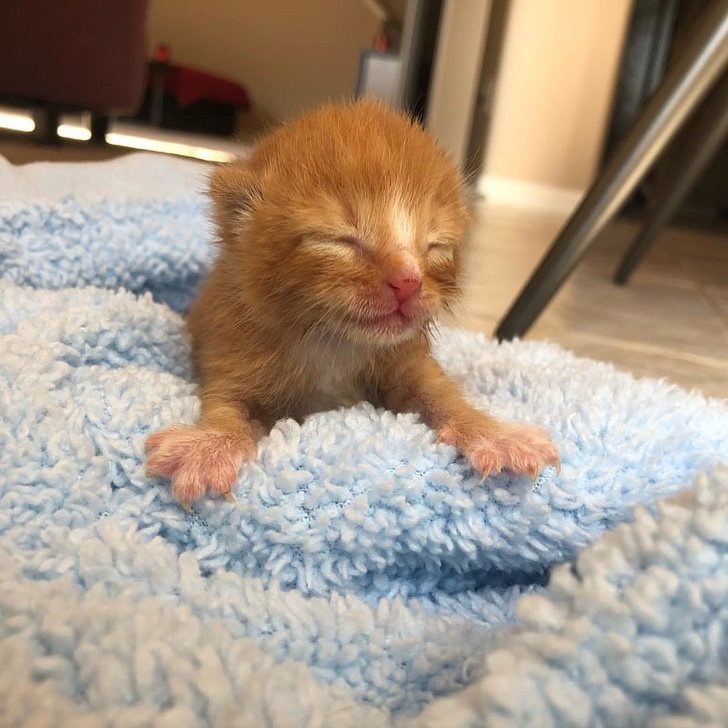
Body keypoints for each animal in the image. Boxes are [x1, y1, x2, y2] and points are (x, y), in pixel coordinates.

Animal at [145, 98, 560, 506]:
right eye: (340, 240)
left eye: (435, 245)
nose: (408, 281)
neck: (333, 342)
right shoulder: (231, 353)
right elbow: (225, 407)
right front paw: (209, 447)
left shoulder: (408, 363)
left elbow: (443, 394)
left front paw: (493, 434)